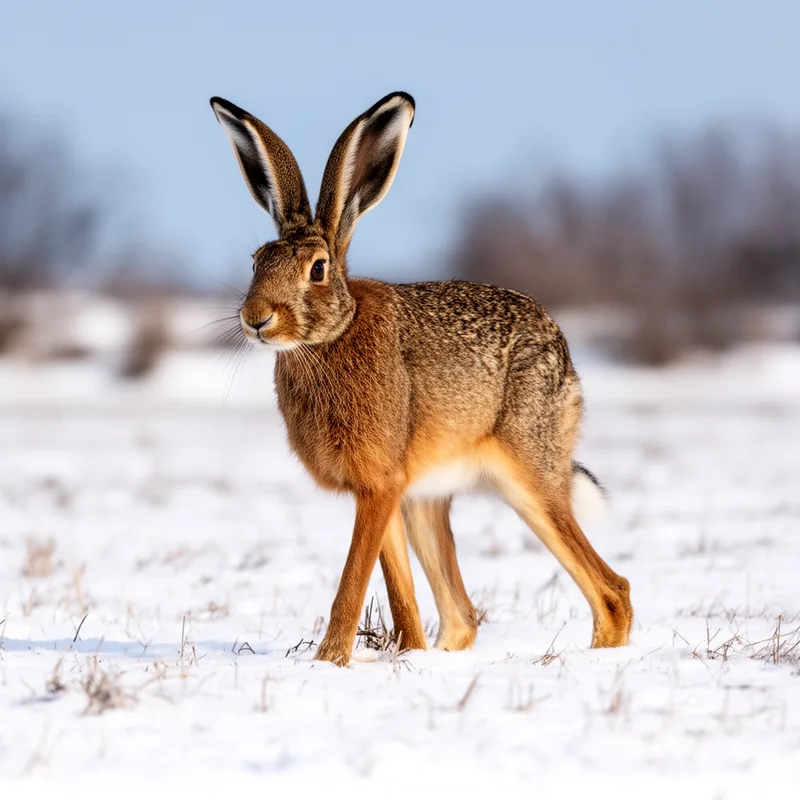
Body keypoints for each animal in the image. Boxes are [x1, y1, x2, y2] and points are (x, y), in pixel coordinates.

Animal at [210, 91, 632, 666]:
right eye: (256, 262)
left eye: (317, 269)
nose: (256, 318)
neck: (333, 334)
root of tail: (565, 358)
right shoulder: (387, 492)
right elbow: (399, 593)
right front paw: (405, 657)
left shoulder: (381, 485)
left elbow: (352, 583)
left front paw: (329, 661)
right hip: (428, 502)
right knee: (462, 615)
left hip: (527, 471)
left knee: (612, 592)